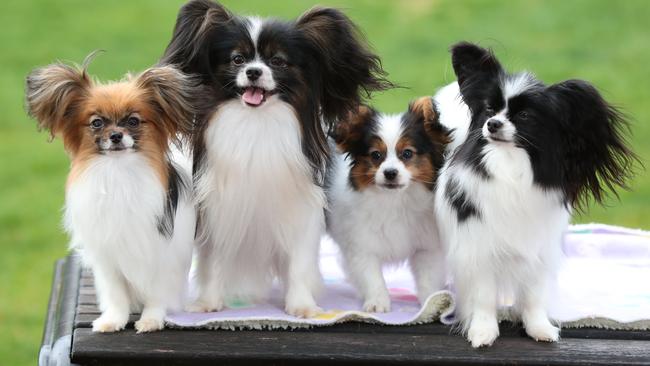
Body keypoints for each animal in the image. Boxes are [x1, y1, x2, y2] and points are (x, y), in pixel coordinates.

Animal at [26, 56, 197, 332]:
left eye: (133, 121)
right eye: (97, 123)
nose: (116, 135)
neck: (119, 173)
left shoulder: (164, 252)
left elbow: (157, 292)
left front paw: (151, 320)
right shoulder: (109, 252)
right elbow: (117, 293)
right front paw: (113, 320)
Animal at [159, 0, 388, 318]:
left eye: (278, 61)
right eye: (238, 59)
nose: (254, 72)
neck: (258, 122)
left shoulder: (300, 213)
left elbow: (299, 264)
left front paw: (302, 306)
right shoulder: (219, 210)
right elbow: (213, 262)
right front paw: (208, 303)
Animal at [326, 98, 448, 314]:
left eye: (407, 153)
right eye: (376, 155)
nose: (390, 173)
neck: (395, 200)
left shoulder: (426, 247)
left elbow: (428, 278)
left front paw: (431, 301)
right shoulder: (362, 246)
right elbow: (371, 277)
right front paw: (377, 302)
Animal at [430, 42, 632, 346]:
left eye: (525, 116)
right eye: (489, 108)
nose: (492, 123)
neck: (509, 165)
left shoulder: (537, 248)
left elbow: (533, 295)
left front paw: (538, 328)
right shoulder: (478, 248)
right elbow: (483, 296)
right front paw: (483, 331)